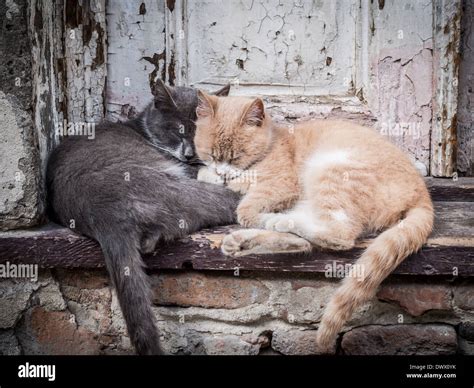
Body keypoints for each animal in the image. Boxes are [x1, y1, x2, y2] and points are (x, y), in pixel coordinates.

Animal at [193, 91, 434, 352]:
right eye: (211, 154)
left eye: (237, 156)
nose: (223, 172)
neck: (272, 143)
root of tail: (422, 193)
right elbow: (209, 175)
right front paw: (213, 176)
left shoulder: (281, 185)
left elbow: (245, 208)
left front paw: (236, 189)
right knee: (308, 240)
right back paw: (243, 241)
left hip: (330, 171)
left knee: (338, 235)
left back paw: (276, 221)